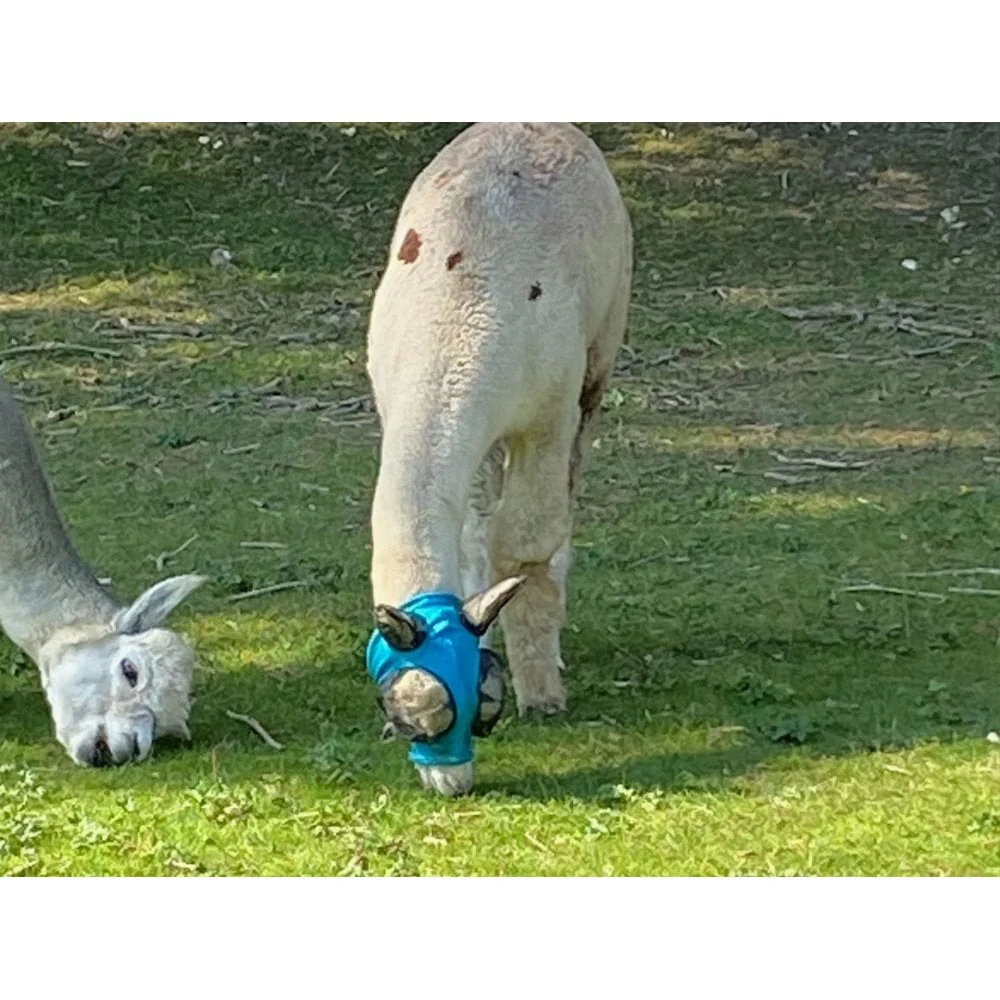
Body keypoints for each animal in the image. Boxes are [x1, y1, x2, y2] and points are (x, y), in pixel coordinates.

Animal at [365, 122, 633, 796]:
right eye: (398, 712)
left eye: (477, 707)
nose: (451, 783)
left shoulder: (549, 415)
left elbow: (529, 539)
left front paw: (542, 691)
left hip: (601, 353)